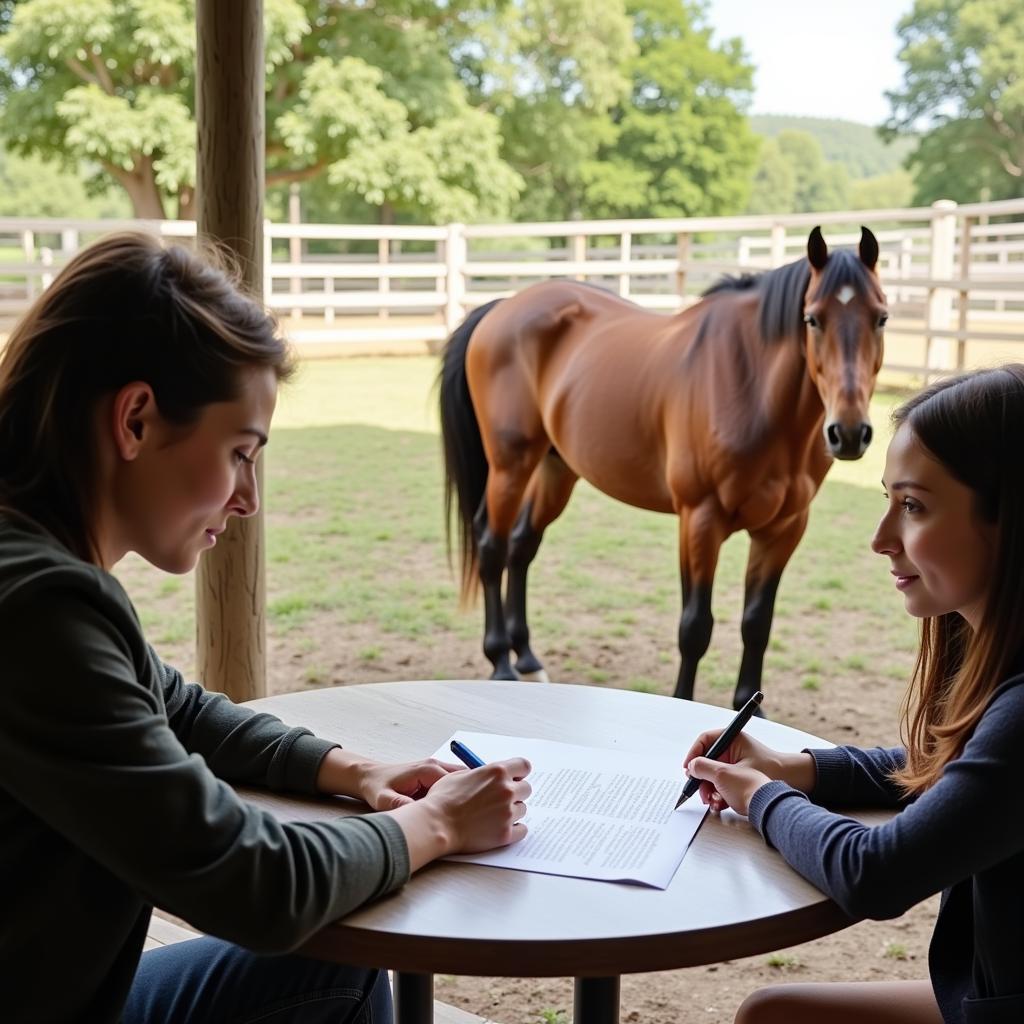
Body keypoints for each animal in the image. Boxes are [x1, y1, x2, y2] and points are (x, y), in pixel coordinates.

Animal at [440, 225, 888, 708]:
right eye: (812, 319)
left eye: (881, 317)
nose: (848, 433)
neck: (751, 390)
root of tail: (502, 307)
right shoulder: (699, 519)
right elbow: (695, 627)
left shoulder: (783, 529)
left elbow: (756, 624)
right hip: (511, 465)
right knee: (493, 546)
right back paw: (500, 661)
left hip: (556, 469)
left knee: (522, 546)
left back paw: (527, 658)